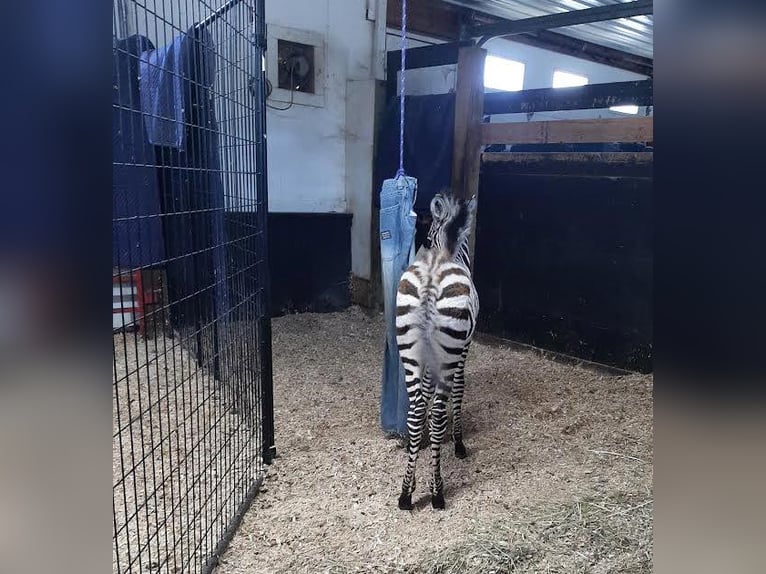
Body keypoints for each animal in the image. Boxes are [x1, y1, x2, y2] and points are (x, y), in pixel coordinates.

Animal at [396, 194, 480, 512]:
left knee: (417, 409)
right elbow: (459, 389)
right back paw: (437, 491)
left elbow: (427, 394)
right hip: (449, 352)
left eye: (427, 236)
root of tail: (432, 276)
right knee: (437, 412)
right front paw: (457, 443)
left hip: (409, 353)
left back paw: (406, 492)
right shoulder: (464, 348)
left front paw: (420, 443)